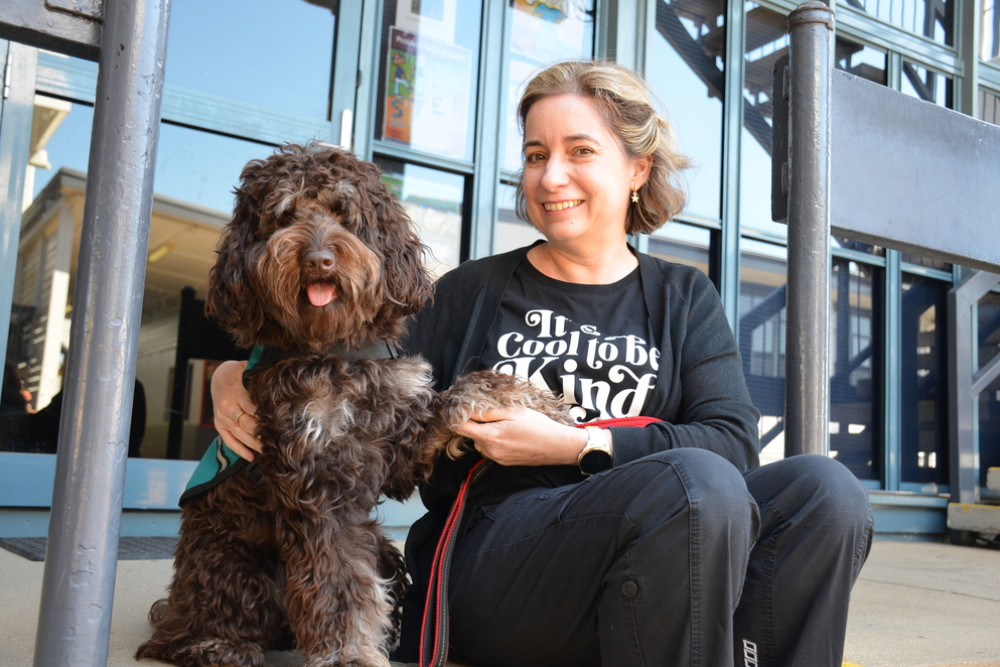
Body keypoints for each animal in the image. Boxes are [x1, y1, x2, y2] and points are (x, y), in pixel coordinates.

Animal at [135, 142, 440, 667]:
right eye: (283, 216)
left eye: (343, 212)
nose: (318, 261)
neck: (334, 350)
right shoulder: (315, 479)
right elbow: (338, 581)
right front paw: (348, 653)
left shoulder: (398, 445)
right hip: (230, 563)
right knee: (186, 629)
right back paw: (217, 644)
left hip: (382, 548)